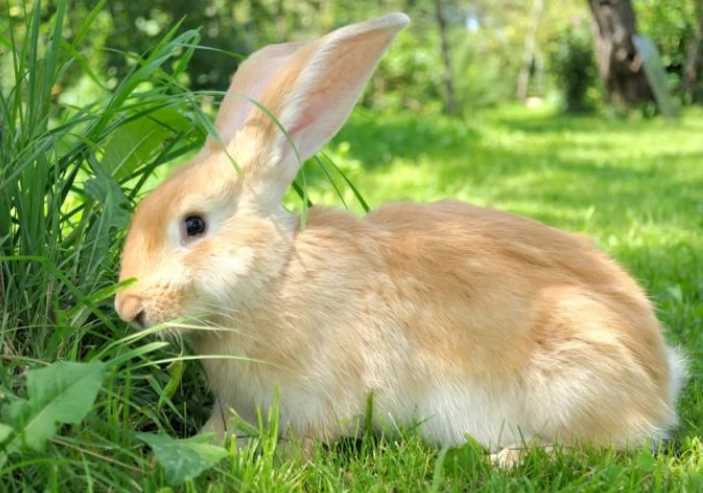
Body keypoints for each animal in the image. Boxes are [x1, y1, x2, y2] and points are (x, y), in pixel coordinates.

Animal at [114, 13, 686, 466]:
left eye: (194, 225)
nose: (127, 309)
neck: (273, 277)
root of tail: (662, 384)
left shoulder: (321, 398)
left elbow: (309, 441)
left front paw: (278, 460)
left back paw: (510, 458)